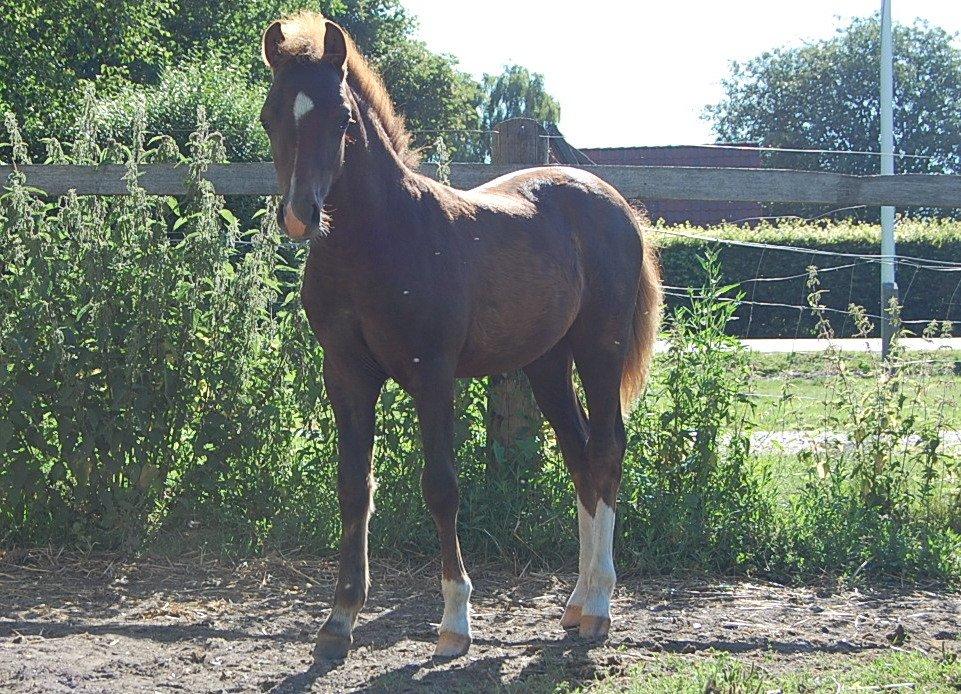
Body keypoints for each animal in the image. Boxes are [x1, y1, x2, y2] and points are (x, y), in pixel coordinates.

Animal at [259, 12, 663, 659]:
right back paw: (575, 605)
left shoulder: (432, 373)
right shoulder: (345, 373)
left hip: (599, 349)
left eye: (342, 119)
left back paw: (599, 607)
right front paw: (339, 621)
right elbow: (352, 486)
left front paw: (455, 621)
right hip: (546, 364)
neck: (376, 243)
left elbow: (441, 486)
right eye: (271, 115)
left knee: (606, 450)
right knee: (580, 458)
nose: (300, 215)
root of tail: (618, 205)